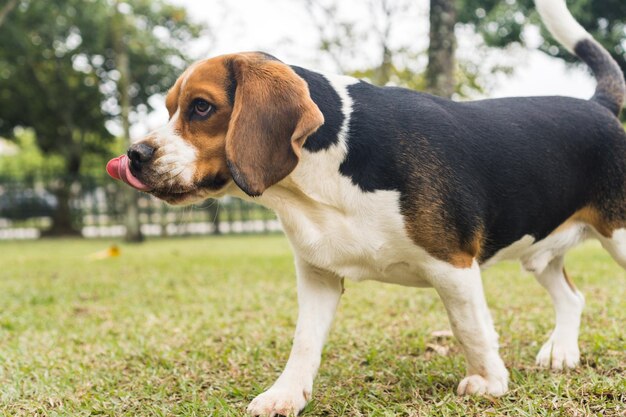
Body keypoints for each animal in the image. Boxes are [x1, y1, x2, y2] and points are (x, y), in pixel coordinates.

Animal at [105, 0, 620, 412]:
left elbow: (469, 327)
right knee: (571, 297)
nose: (134, 155)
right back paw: (562, 352)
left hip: (618, 235)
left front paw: (489, 381)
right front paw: (285, 395)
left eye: (201, 108)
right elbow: (304, 341)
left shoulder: (453, 265)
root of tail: (599, 106)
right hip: (541, 252)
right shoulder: (317, 273)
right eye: (171, 107)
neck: (321, 171)